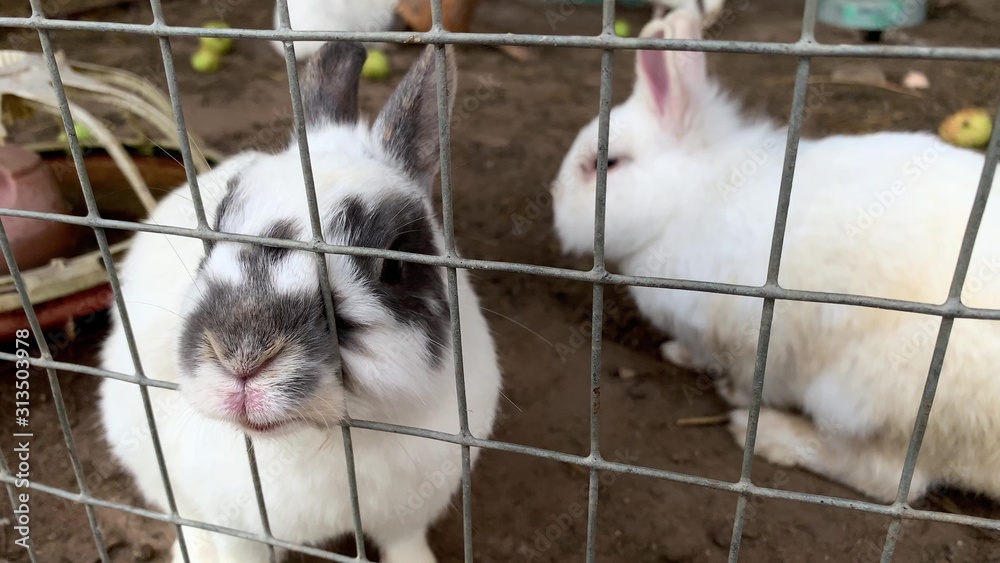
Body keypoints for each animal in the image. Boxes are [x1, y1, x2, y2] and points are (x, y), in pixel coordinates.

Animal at [99, 40, 502, 563]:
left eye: (393, 263)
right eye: (215, 228)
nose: (243, 357)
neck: (317, 437)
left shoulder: (410, 512)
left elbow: (405, 544)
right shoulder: (237, 528)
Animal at [552, 8, 1000, 505]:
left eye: (607, 164)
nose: (554, 199)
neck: (688, 196)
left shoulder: (746, 337)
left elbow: (745, 373)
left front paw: (729, 392)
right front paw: (677, 354)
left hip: (869, 396)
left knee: (890, 478)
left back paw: (767, 435)